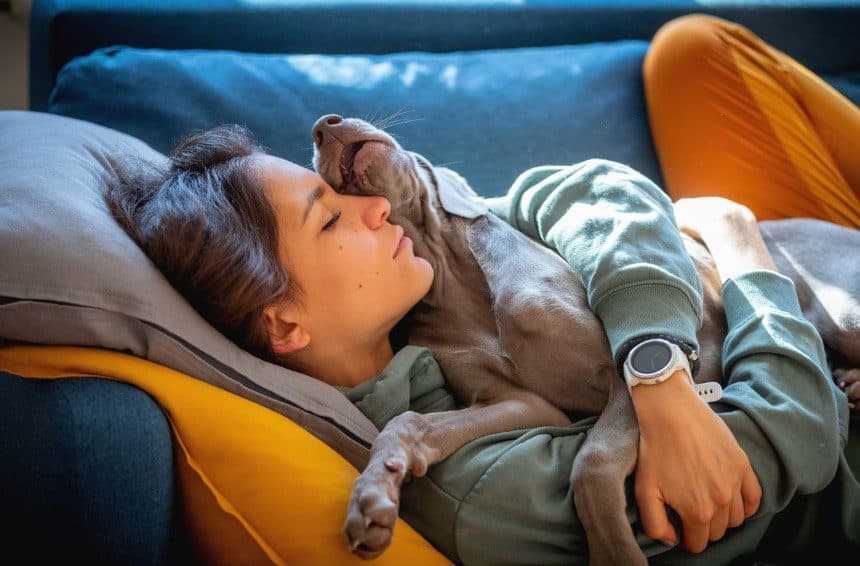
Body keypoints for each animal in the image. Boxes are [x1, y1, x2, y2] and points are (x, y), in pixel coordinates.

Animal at [310, 113, 860, 564]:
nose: (321, 126)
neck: (452, 273)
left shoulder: (624, 374)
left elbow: (592, 463)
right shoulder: (522, 404)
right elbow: (411, 421)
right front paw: (374, 496)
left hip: (842, 312)